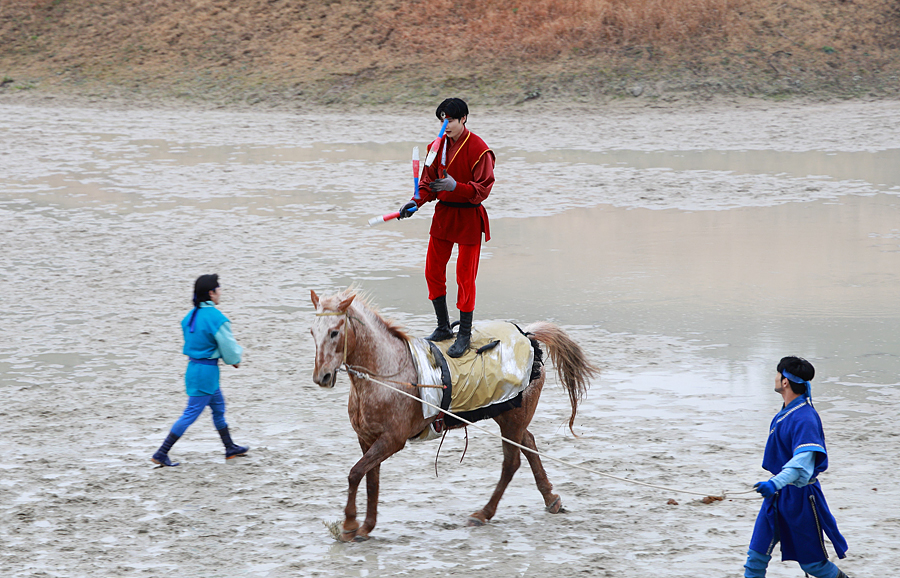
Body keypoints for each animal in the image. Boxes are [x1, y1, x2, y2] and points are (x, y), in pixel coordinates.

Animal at [310, 288, 596, 540]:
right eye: (313, 331)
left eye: (334, 332)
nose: (322, 377)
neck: (387, 373)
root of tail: (528, 336)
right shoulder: (367, 439)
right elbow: (371, 479)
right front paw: (366, 526)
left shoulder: (392, 440)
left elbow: (356, 473)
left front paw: (349, 526)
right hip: (510, 416)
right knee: (529, 445)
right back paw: (551, 498)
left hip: (512, 420)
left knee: (511, 462)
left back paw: (483, 513)